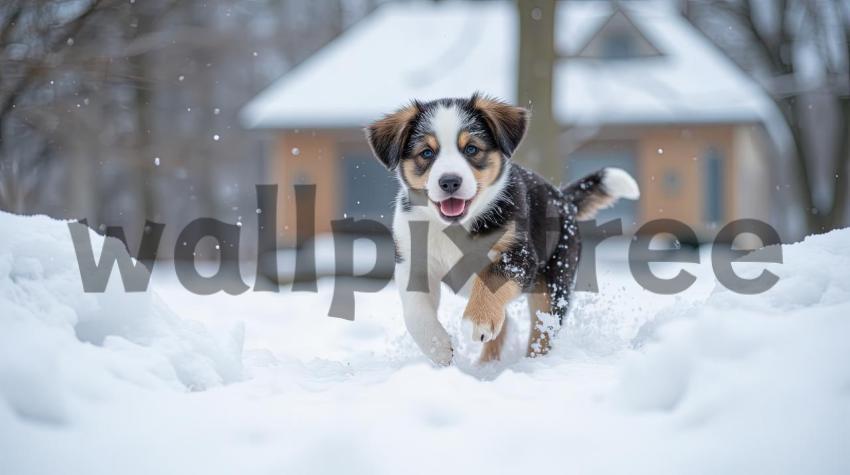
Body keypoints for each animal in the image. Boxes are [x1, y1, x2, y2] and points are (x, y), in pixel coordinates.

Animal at [364, 95, 636, 366]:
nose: (449, 181)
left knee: (543, 330)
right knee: (506, 325)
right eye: (426, 153)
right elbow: (415, 310)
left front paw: (477, 321)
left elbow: (491, 279)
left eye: (471, 149)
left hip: (555, 282)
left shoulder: (519, 255)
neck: (456, 227)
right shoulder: (413, 262)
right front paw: (437, 347)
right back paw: (486, 367)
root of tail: (563, 199)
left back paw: (532, 363)